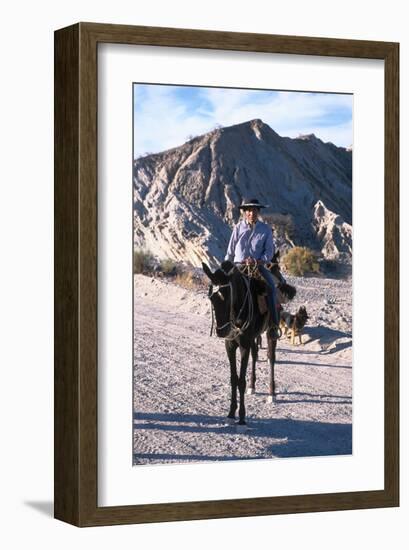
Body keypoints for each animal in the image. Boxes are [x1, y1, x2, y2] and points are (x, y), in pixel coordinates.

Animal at [202, 254, 294, 426]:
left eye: (228, 297)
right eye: (211, 298)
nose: (221, 331)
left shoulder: (244, 344)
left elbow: (241, 381)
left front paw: (242, 416)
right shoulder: (230, 345)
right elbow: (234, 379)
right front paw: (231, 412)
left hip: (270, 332)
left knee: (271, 358)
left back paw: (271, 394)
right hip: (253, 338)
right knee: (255, 355)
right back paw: (253, 387)